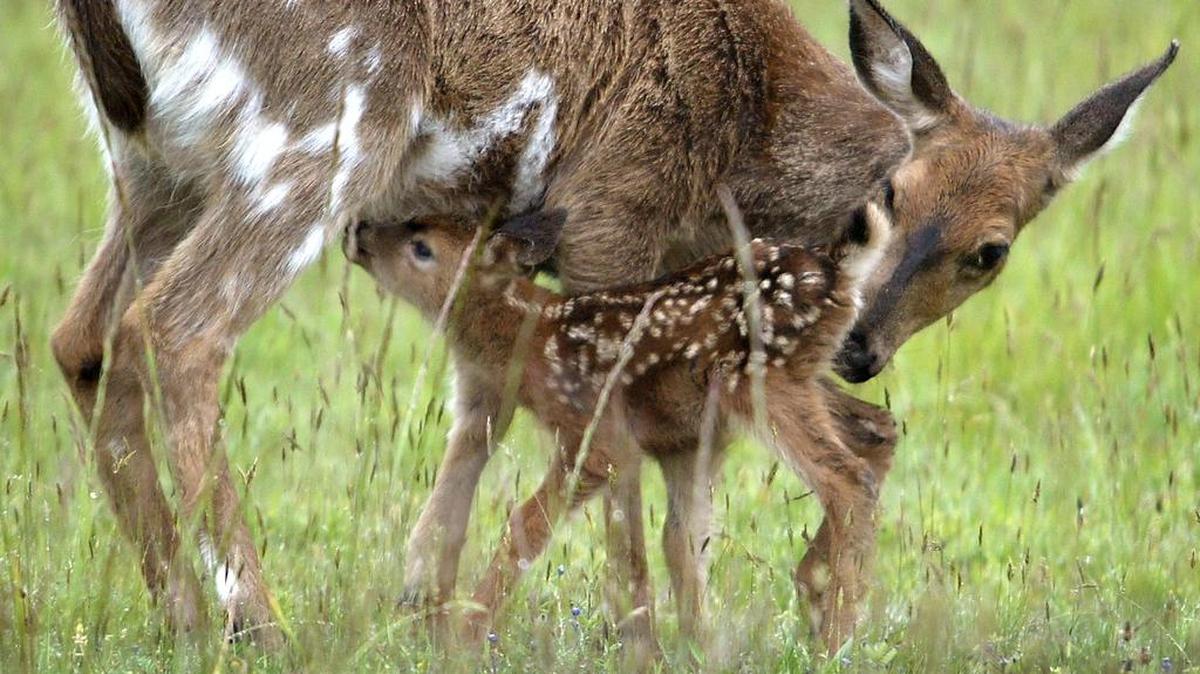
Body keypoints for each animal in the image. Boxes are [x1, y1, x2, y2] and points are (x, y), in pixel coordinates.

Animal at [345, 195, 893, 651]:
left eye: (421, 247)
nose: (359, 228)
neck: (533, 339)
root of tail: (838, 269)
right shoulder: (677, 444)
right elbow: (673, 541)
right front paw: (689, 649)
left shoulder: (595, 433)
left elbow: (525, 525)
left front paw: (469, 632)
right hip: (797, 381)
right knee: (876, 430)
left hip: (761, 381)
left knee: (848, 478)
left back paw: (833, 642)